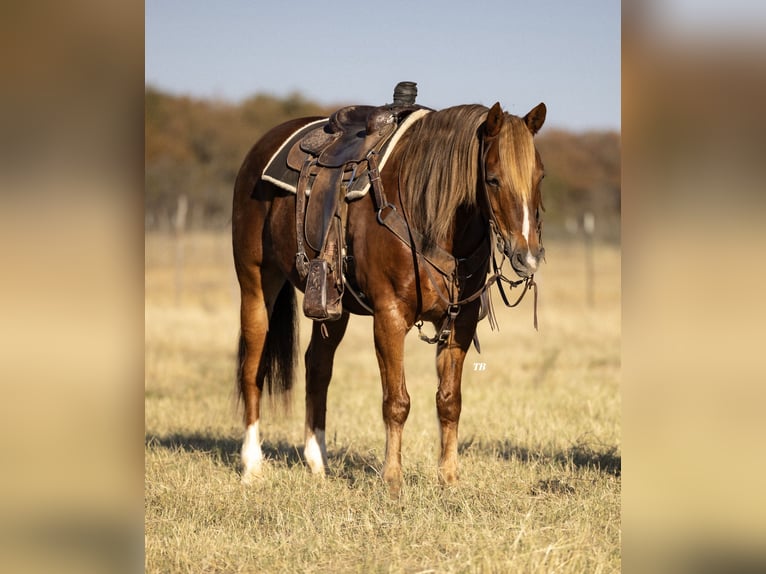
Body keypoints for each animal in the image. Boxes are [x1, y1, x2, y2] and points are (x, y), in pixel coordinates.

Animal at [232, 99, 544, 496]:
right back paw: (252, 465)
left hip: (333, 307)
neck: (424, 213)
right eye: (493, 179)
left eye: (540, 176)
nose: (528, 255)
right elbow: (397, 401)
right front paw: (393, 480)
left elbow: (449, 401)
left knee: (317, 368)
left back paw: (318, 463)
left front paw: (449, 478)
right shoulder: (390, 318)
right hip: (256, 283)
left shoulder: (460, 322)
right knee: (252, 367)